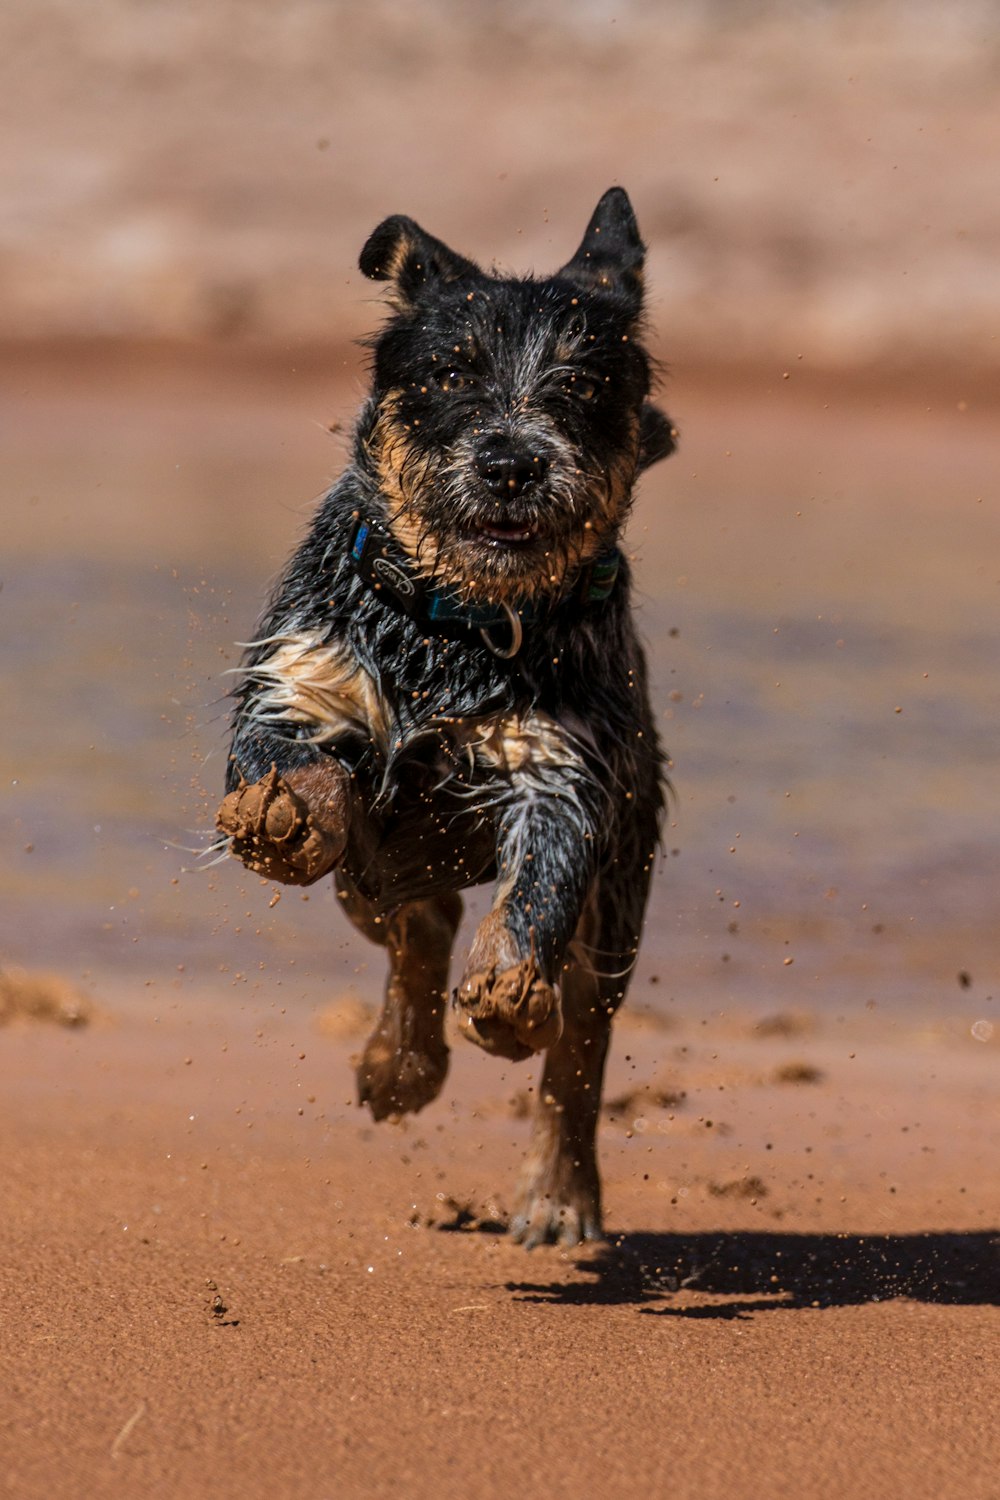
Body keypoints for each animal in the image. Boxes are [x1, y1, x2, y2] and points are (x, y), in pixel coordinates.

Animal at [215, 184, 677, 1242]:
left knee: (579, 1044)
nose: (512, 462)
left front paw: (508, 984)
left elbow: (538, 887)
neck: (457, 622)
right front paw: (284, 814)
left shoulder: (564, 767)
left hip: (624, 893)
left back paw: (558, 1191)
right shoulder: (303, 676)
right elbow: (287, 759)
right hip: (372, 886)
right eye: (452, 372)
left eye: (580, 387)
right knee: (412, 927)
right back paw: (400, 1065)